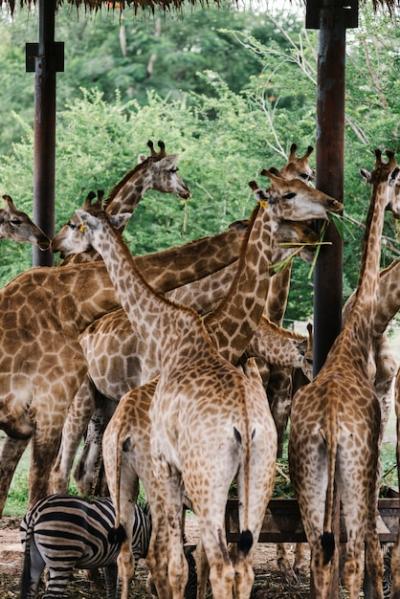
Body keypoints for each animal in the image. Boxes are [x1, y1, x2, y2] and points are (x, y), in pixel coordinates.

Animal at [18, 496, 151, 599]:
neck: (146, 527)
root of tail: (36, 510)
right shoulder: (133, 552)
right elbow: (122, 586)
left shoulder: (110, 562)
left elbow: (111, 587)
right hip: (62, 557)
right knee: (51, 595)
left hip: (34, 558)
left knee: (31, 589)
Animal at [53, 175, 340, 599]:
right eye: (290, 194)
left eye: (75, 223)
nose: (317, 233)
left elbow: (180, 554)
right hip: (90, 403)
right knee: (68, 472)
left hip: (114, 417)